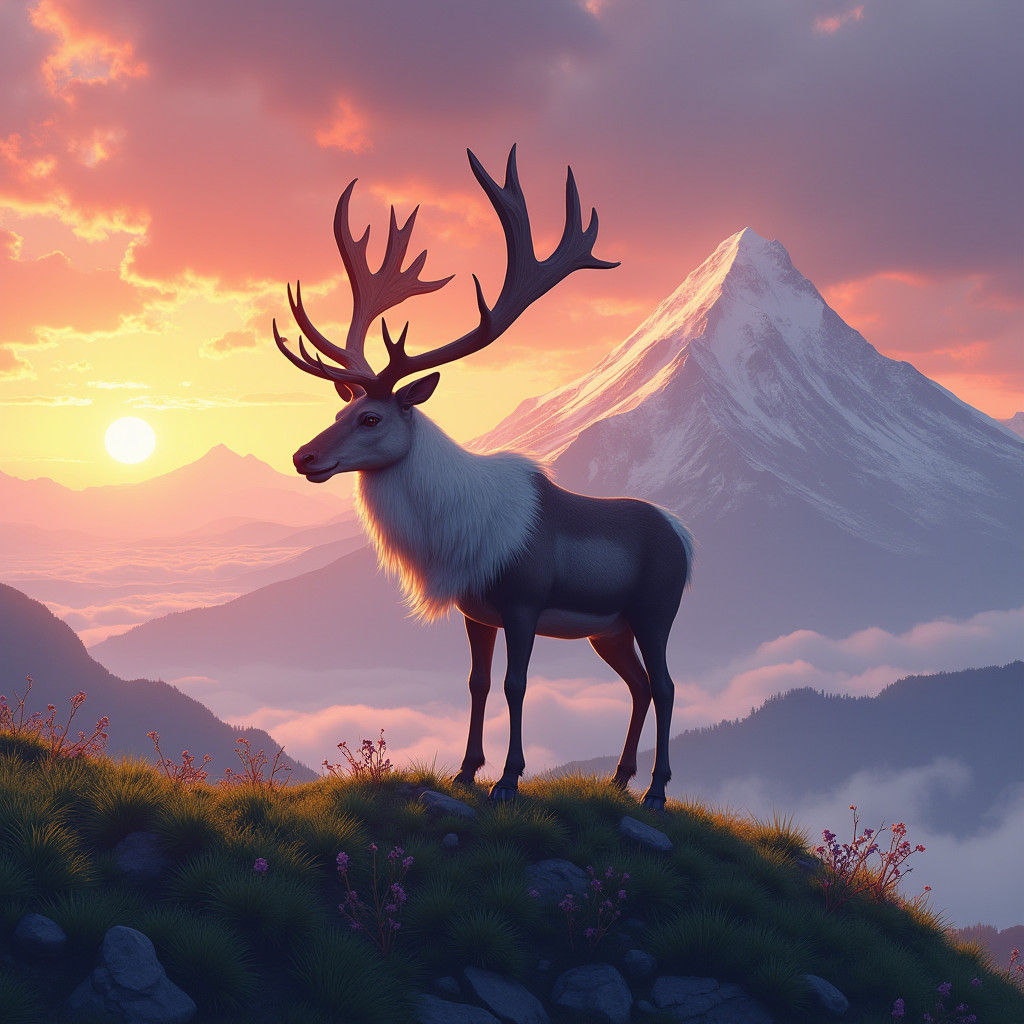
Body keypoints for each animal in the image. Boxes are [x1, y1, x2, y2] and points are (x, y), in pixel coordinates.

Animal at [274, 146, 693, 809]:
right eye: (338, 412)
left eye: (370, 417)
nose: (303, 457)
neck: (455, 533)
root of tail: (686, 537)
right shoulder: (477, 610)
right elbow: (475, 683)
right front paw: (467, 770)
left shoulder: (523, 600)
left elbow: (516, 685)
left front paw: (509, 779)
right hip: (610, 629)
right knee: (641, 685)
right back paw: (620, 777)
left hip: (656, 608)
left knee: (670, 684)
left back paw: (655, 790)